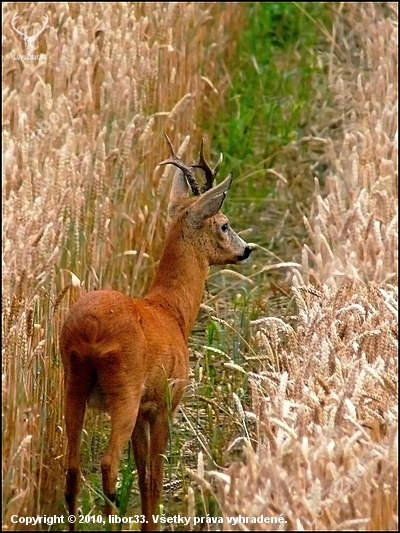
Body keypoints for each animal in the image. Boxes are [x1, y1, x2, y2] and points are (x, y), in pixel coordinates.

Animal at [59, 134, 252, 528]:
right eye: (224, 224)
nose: (246, 250)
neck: (171, 312)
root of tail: (89, 332)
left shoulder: (145, 409)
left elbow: (144, 474)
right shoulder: (165, 400)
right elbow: (155, 479)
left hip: (73, 381)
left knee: (72, 470)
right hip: (125, 389)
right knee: (108, 465)